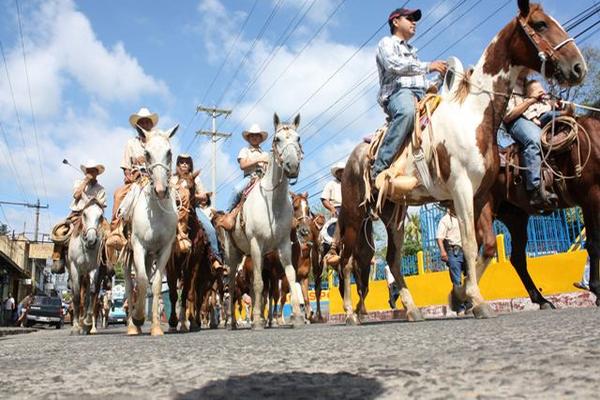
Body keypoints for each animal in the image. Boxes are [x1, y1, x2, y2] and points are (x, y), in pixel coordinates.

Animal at [67, 200, 106, 334]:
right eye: (84, 214)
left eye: (101, 216)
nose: (91, 239)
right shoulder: (75, 268)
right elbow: (77, 296)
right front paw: (75, 327)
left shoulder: (94, 268)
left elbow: (92, 293)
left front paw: (87, 323)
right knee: (77, 295)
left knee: (88, 296)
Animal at [122, 124, 177, 334]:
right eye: (147, 153)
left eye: (169, 152)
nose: (161, 190)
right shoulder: (139, 246)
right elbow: (143, 281)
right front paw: (138, 318)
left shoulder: (164, 249)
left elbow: (155, 284)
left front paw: (156, 327)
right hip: (128, 257)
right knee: (130, 285)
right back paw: (132, 326)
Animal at [218, 111, 304, 328]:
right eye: (277, 139)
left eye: (298, 138)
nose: (292, 166)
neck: (273, 204)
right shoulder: (256, 244)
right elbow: (258, 283)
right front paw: (257, 321)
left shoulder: (283, 245)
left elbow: (289, 277)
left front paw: (298, 316)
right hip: (233, 256)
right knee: (233, 286)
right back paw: (232, 322)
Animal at [336, 0, 584, 324]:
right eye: (540, 24)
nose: (579, 67)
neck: (474, 114)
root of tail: (348, 164)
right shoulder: (462, 189)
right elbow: (467, 244)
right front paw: (476, 301)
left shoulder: (481, 196)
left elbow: (486, 247)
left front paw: (460, 295)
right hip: (355, 216)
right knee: (347, 262)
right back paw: (351, 314)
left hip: (394, 214)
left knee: (392, 259)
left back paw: (412, 309)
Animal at [478, 112, 600, 310]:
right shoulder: (592, 196)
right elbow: (595, 243)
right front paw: (597, 291)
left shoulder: (588, 203)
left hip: (515, 218)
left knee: (517, 258)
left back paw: (542, 300)